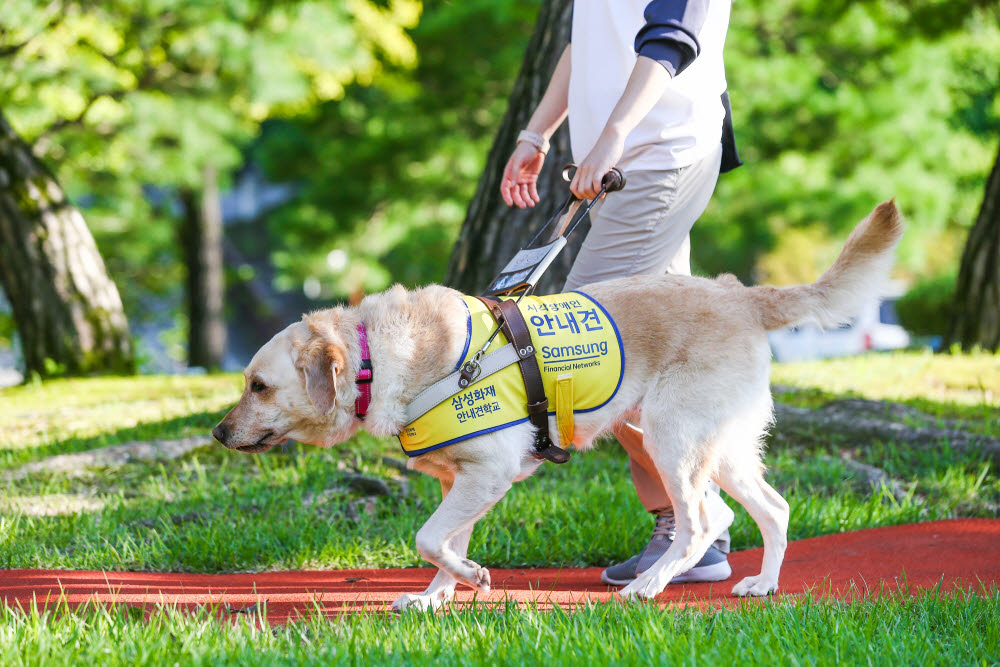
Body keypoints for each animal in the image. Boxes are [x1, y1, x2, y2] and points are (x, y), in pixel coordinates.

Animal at [213, 201, 908, 612]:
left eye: (258, 386)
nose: (219, 434)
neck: (374, 360)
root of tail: (740, 294)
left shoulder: (488, 472)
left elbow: (428, 536)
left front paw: (473, 577)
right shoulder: (462, 480)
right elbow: (441, 542)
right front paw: (441, 593)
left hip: (673, 440)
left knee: (700, 523)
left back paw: (648, 585)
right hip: (720, 448)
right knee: (769, 509)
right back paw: (763, 583)